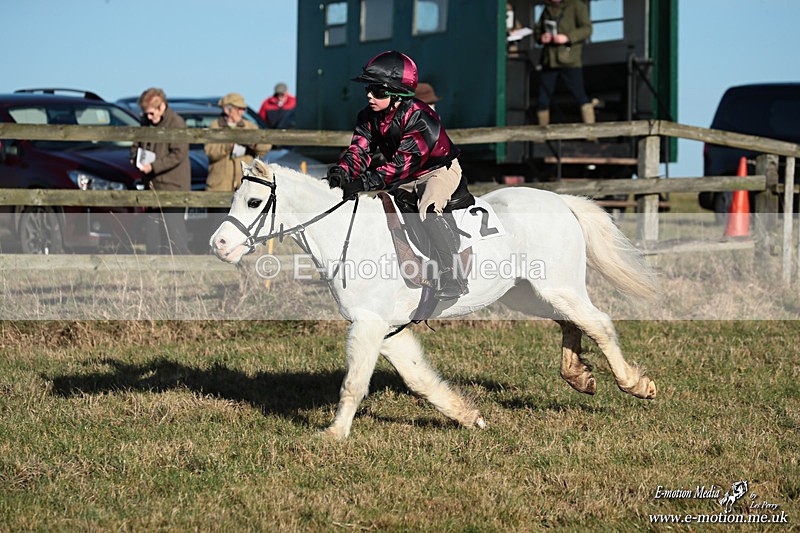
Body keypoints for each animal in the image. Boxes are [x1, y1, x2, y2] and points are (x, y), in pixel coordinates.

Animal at [210, 159, 658, 440]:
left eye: (253, 202)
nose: (219, 244)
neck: (347, 234)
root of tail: (561, 200)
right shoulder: (386, 328)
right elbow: (419, 379)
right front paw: (469, 417)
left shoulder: (369, 323)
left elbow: (354, 383)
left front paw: (333, 435)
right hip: (528, 293)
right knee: (571, 322)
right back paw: (578, 375)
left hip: (557, 285)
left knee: (597, 323)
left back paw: (635, 384)